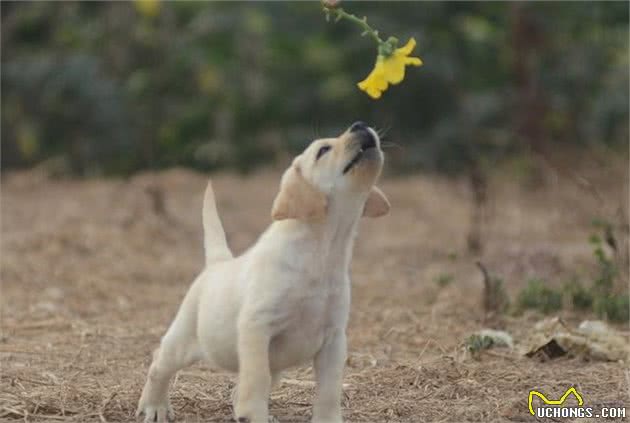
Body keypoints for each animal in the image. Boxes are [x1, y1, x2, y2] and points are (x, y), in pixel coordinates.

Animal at [138, 121, 390, 422]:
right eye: (323, 150)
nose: (360, 125)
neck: (323, 251)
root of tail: (217, 263)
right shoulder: (257, 327)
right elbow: (257, 379)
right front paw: (254, 413)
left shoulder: (334, 339)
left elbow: (329, 391)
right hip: (183, 341)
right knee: (158, 364)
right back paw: (154, 406)